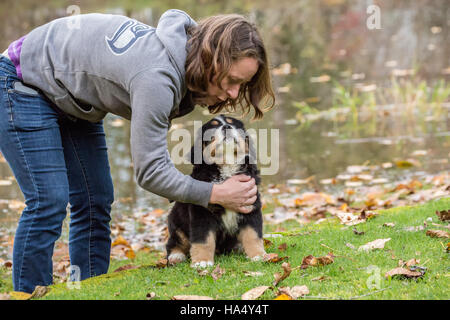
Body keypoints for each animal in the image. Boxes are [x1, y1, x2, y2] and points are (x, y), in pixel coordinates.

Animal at [166, 115, 266, 268]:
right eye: (212, 128)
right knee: (175, 242)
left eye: (233, 124)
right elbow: (203, 239)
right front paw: (202, 262)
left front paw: (258, 255)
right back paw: (176, 256)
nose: (226, 127)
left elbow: (253, 234)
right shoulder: (201, 213)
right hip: (176, 222)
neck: (227, 167)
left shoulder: (250, 206)